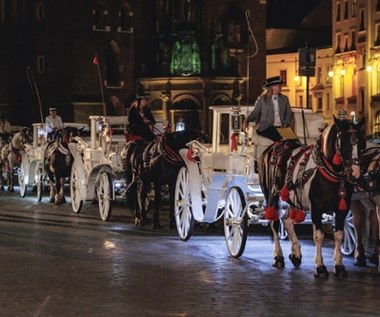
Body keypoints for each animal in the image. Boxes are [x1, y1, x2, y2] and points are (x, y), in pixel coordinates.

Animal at [258, 116, 366, 276]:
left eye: (362, 144)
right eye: (344, 143)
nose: (356, 174)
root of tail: (270, 148)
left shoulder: (342, 208)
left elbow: (339, 235)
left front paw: (339, 266)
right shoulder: (316, 208)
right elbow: (318, 235)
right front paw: (320, 267)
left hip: (293, 198)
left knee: (287, 220)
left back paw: (296, 255)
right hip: (270, 194)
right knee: (274, 222)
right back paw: (278, 257)